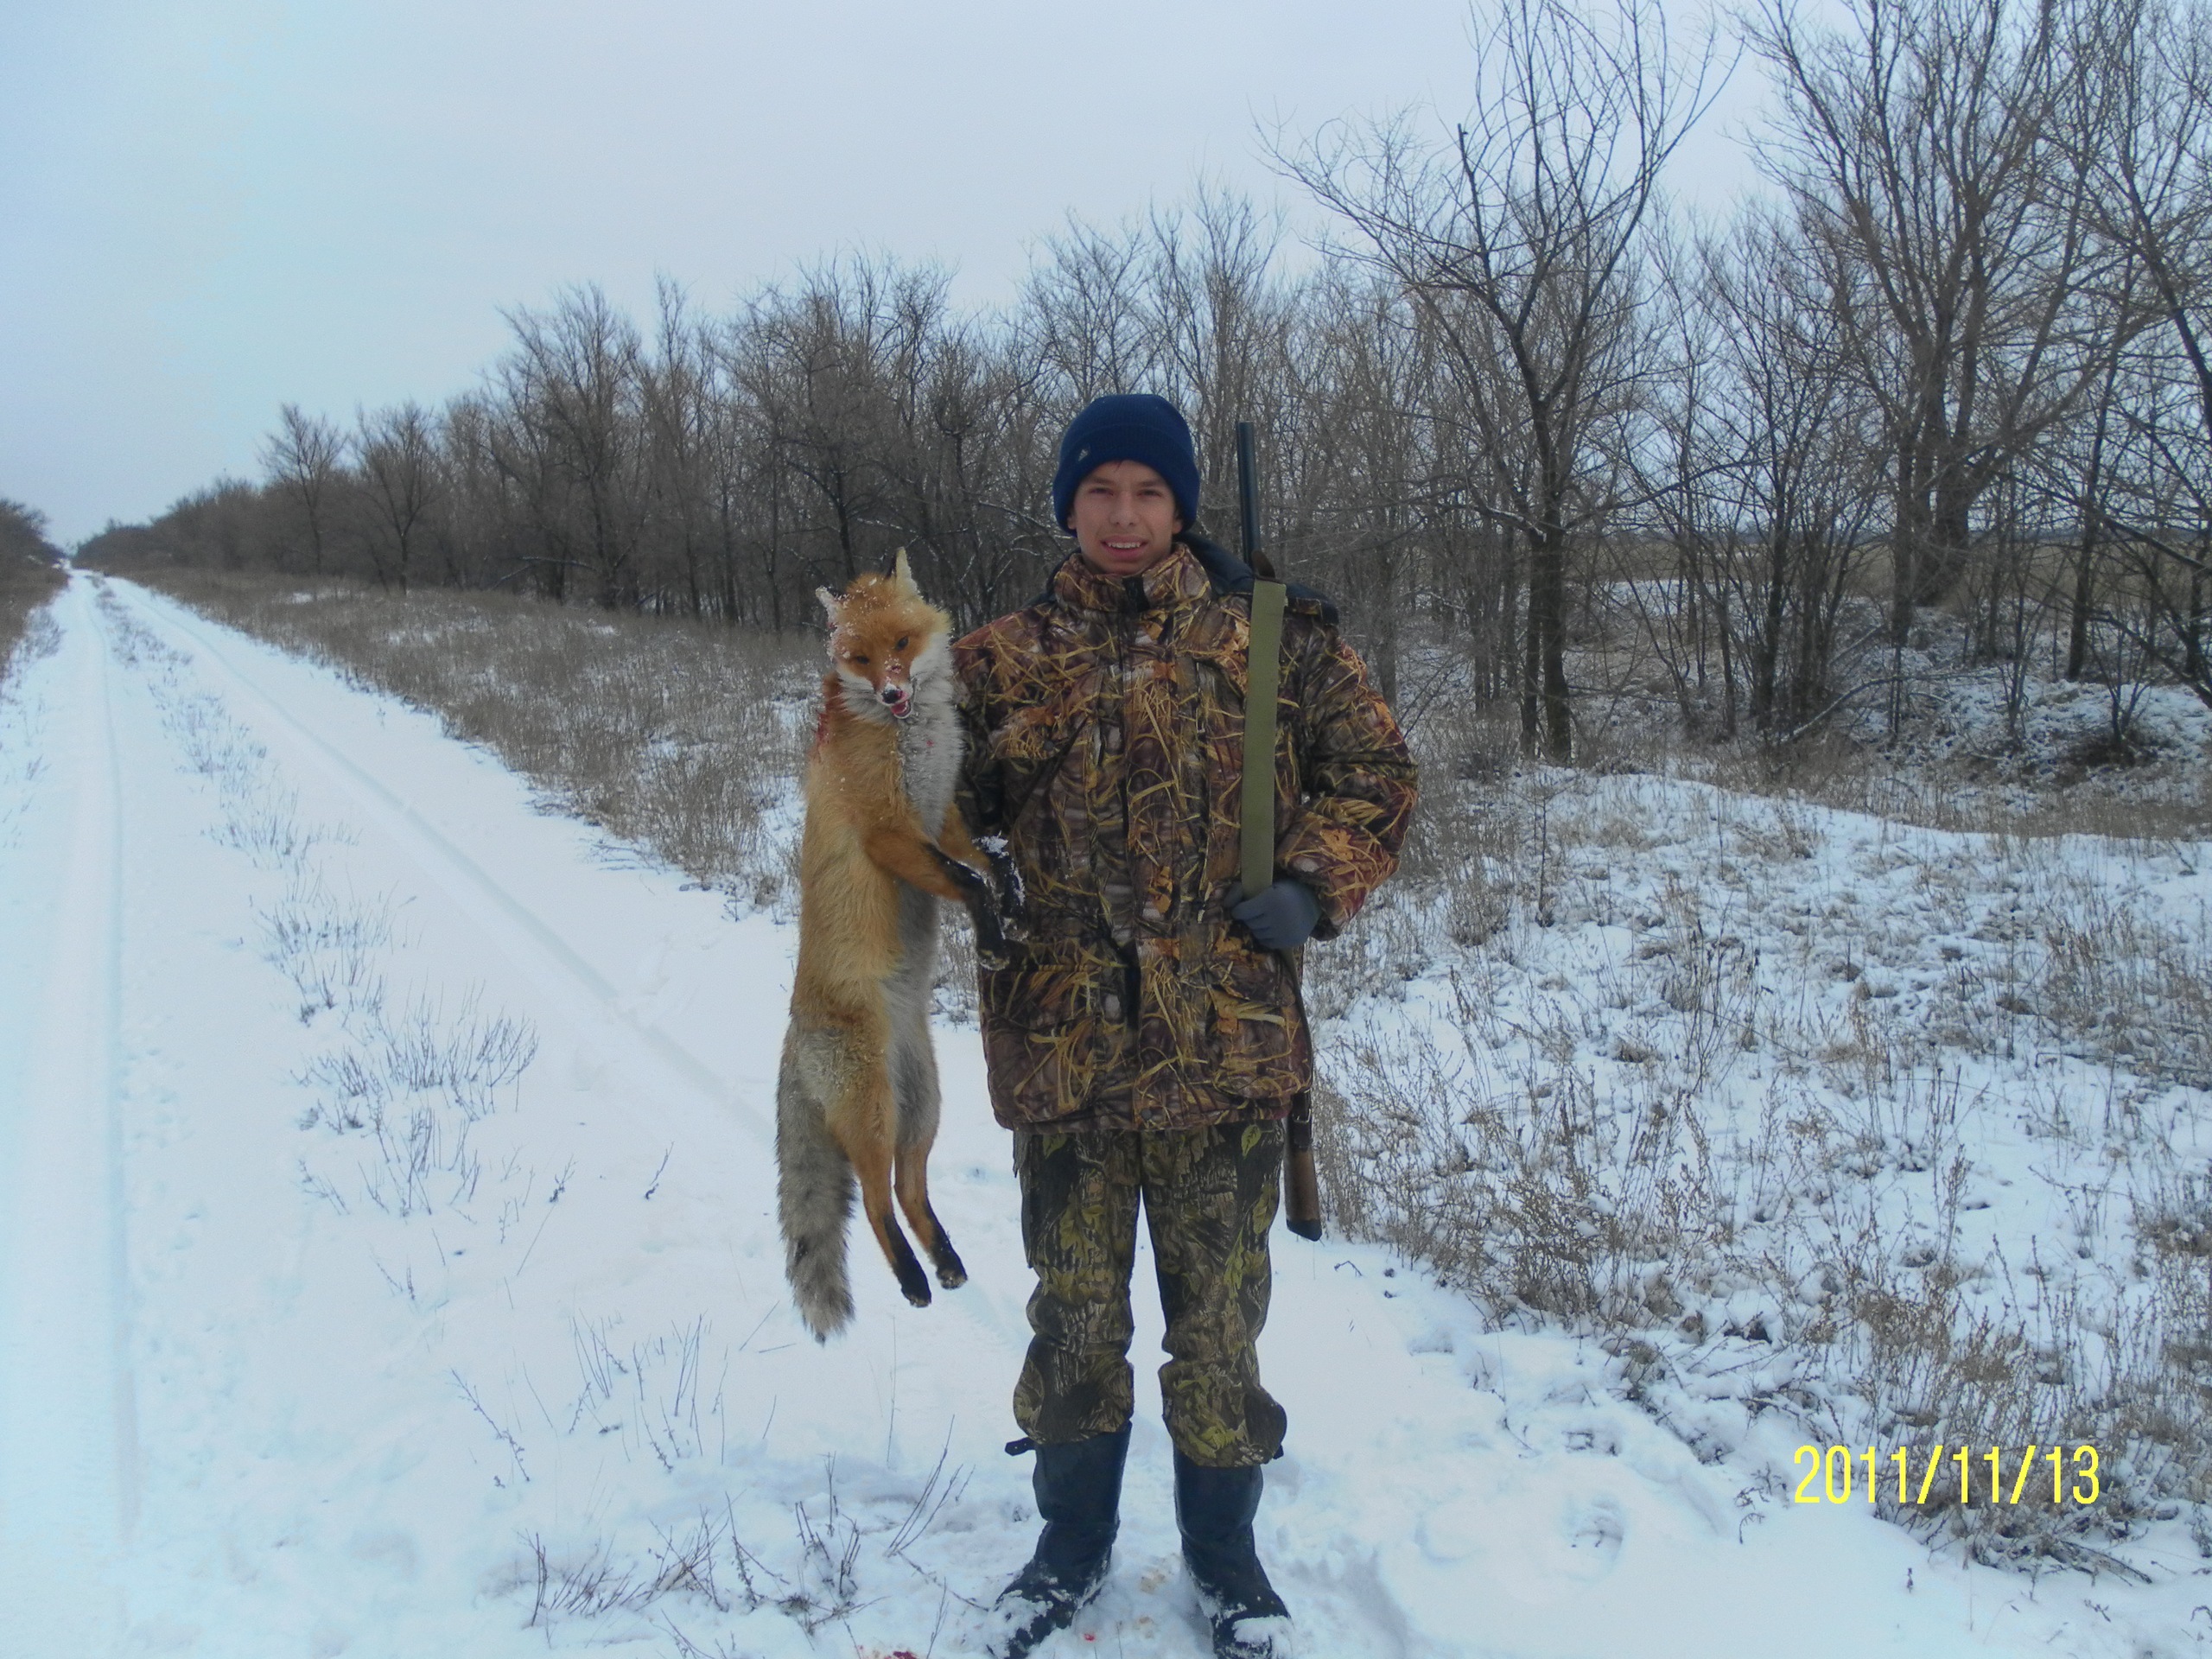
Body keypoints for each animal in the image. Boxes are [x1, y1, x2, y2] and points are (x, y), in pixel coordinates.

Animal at [776, 549, 1018, 1342]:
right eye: (857, 656)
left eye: (903, 645)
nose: (891, 691)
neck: (910, 739)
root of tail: (794, 1038)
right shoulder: (889, 831)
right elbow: (966, 884)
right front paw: (996, 937)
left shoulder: (939, 817)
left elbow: (983, 862)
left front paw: (1014, 894)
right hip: (876, 1110)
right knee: (876, 1199)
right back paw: (913, 1280)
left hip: (923, 1109)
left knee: (911, 1195)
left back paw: (946, 1263)